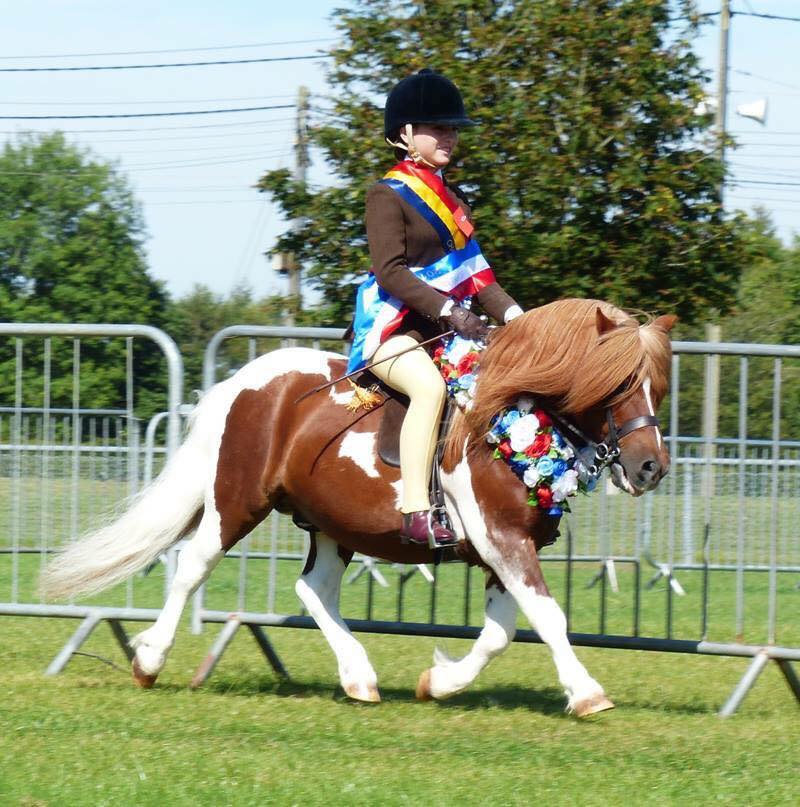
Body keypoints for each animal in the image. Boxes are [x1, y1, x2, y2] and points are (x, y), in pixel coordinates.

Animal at [42, 300, 676, 716]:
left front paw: (438, 682)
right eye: (620, 384)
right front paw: (587, 693)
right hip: (237, 503)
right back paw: (149, 659)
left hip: (331, 522)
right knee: (194, 566)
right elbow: (547, 619)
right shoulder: (501, 539)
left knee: (314, 589)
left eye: (658, 388)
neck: (511, 414)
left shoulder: (503, 548)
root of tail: (243, 383)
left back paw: (359, 677)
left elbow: (501, 632)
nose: (652, 468)